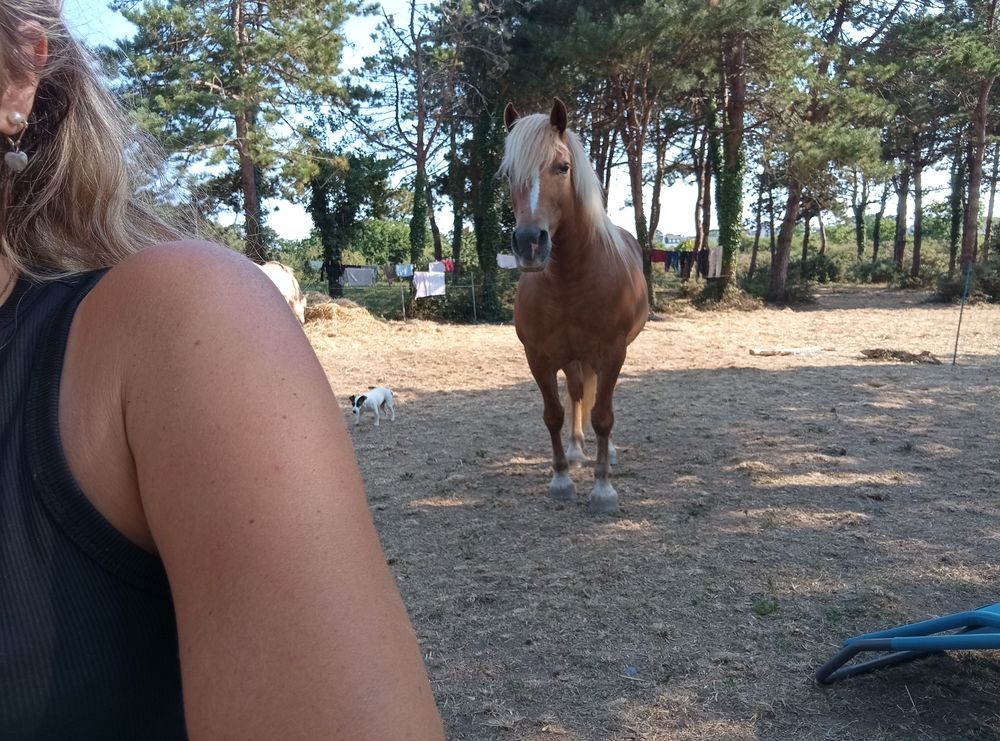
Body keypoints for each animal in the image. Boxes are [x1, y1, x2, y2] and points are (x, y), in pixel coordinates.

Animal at [501, 98, 647, 514]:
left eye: (562, 167)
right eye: (508, 174)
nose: (530, 243)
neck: (569, 281)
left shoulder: (612, 353)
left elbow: (604, 416)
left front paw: (603, 489)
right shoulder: (539, 357)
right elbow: (554, 414)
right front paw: (562, 479)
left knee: (597, 398)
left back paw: (606, 453)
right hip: (571, 358)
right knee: (580, 392)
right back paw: (577, 448)